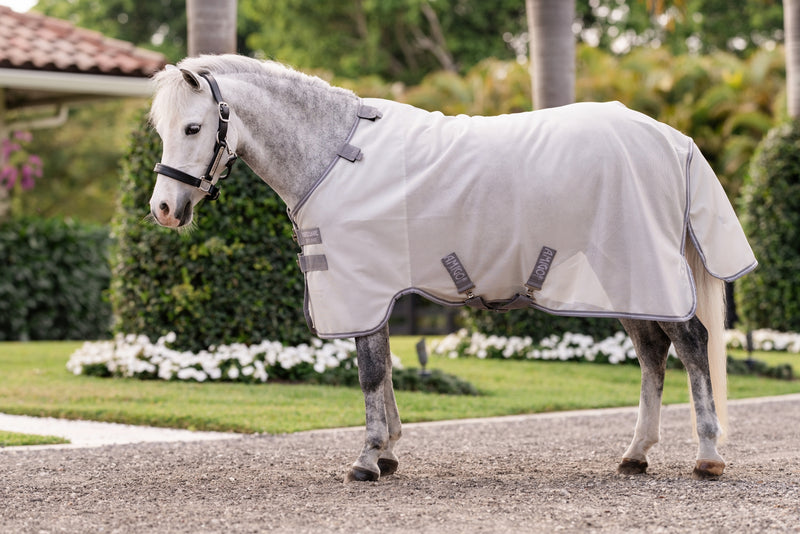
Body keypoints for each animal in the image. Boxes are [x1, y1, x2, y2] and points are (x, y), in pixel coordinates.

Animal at [147, 54, 756, 482]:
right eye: (161, 129)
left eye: (194, 128)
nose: (163, 209)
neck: (335, 155)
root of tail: (673, 139)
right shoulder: (379, 293)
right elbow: (386, 370)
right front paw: (388, 452)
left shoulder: (362, 288)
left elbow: (370, 372)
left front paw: (368, 459)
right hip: (627, 281)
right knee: (654, 354)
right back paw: (635, 454)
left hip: (644, 271)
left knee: (692, 344)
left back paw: (707, 455)